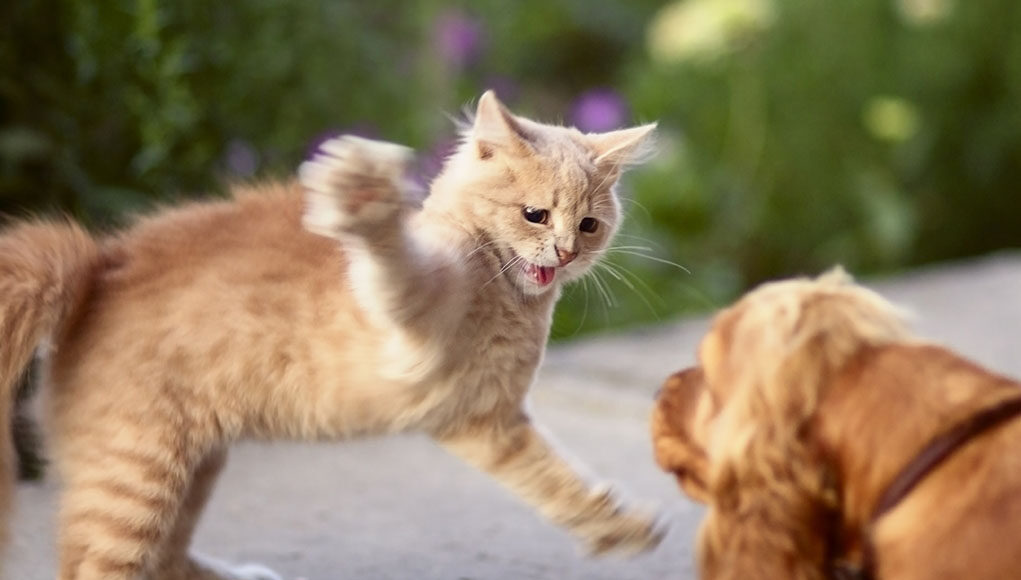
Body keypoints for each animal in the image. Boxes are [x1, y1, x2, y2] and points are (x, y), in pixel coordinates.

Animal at [0, 92, 661, 575]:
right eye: (535, 215)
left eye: (590, 224)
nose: (567, 251)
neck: (508, 300)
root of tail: (97, 266)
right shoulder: (414, 310)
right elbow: (392, 261)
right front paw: (362, 197)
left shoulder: (485, 421)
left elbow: (555, 480)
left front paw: (618, 526)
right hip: (137, 475)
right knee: (95, 565)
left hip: (191, 467)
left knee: (162, 560)